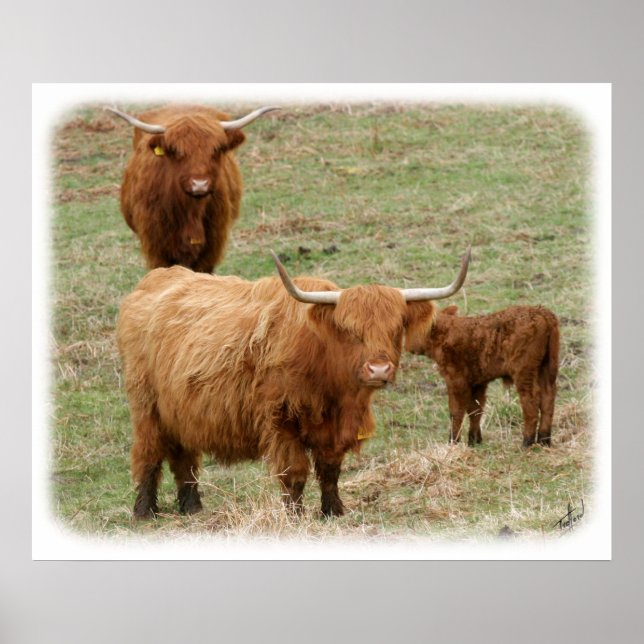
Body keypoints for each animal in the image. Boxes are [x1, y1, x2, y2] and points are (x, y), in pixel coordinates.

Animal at [107, 104, 278, 273]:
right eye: (176, 150)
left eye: (217, 149)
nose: (200, 184)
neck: (191, 212)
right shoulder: (157, 247)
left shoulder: (212, 247)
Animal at [116, 249, 471, 518]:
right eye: (349, 330)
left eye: (396, 328)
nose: (379, 369)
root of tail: (158, 278)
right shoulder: (281, 419)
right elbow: (295, 473)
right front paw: (295, 516)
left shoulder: (334, 428)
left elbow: (330, 471)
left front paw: (333, 512)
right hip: (146, 405)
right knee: (148, 454)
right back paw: (144, 511)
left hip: (181, 411)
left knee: (184, 459)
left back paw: (192, 507)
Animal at [405, 304, 559, 447]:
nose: (408, 346)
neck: (445, 333)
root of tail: (542, 312)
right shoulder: (477, 382)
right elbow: (475, 409)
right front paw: (474, 440)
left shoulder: (456, 379)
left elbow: (456, 411)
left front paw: (453, 441)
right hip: (547, 368)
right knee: (548, 398)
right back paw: (544, 440)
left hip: (524, 371)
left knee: (531, 399)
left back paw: (527, 442)